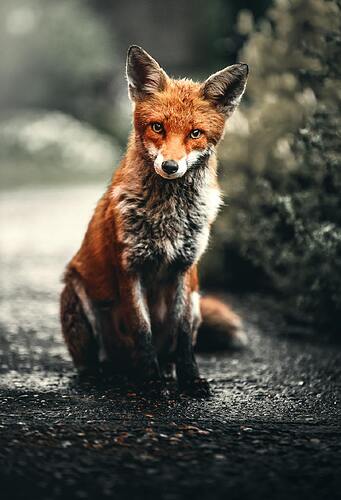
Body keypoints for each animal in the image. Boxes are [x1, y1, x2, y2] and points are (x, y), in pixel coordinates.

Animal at [59, 45, 248, 396]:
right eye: (158, 127)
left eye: (195, 133)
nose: (171, 166)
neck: (167, 216)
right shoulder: (129, 267)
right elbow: (141, 329)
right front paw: (151, 382)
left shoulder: (185, 269)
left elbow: (183, 336)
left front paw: (190, 379)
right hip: (77, 294)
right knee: (94, 362)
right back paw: (106, 375)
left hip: (197, 300)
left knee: (170, 348)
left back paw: (165, 370)